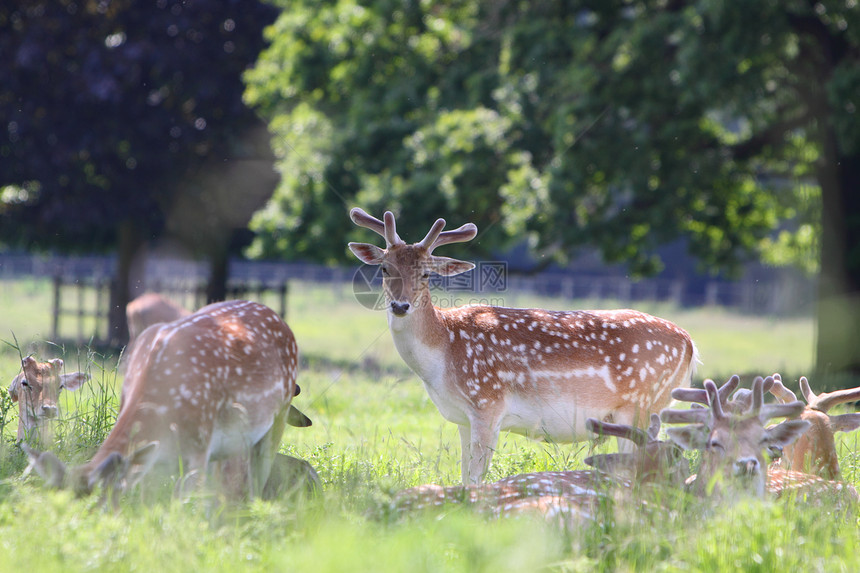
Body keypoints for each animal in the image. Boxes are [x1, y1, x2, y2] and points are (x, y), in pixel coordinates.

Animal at [350, 206, 700, 482]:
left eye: (425, 274)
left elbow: (475, 479)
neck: (443, 352)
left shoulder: (487, 403)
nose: (400, 306)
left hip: (642, 405)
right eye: (384, 268)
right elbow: (463, 477)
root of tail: (689, 343)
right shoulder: (462, 417)